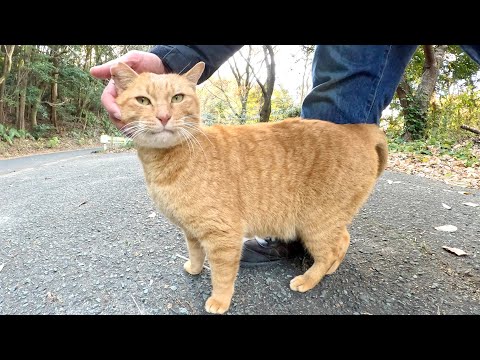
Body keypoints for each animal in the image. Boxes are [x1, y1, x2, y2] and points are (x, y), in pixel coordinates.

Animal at [110, 60, 388, 314]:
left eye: (177, 98)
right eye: (143, 101)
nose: (164, 116)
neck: (166, 164)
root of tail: (360, 130)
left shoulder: (223, 236)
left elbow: (222, 276)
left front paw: (219, 301)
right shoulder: (191, 230)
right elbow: (196, 253)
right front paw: (194, 268)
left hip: (317, 222)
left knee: (330, 249)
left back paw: (309, 279)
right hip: (328, 221)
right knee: (343, 240)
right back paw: (329, 270)